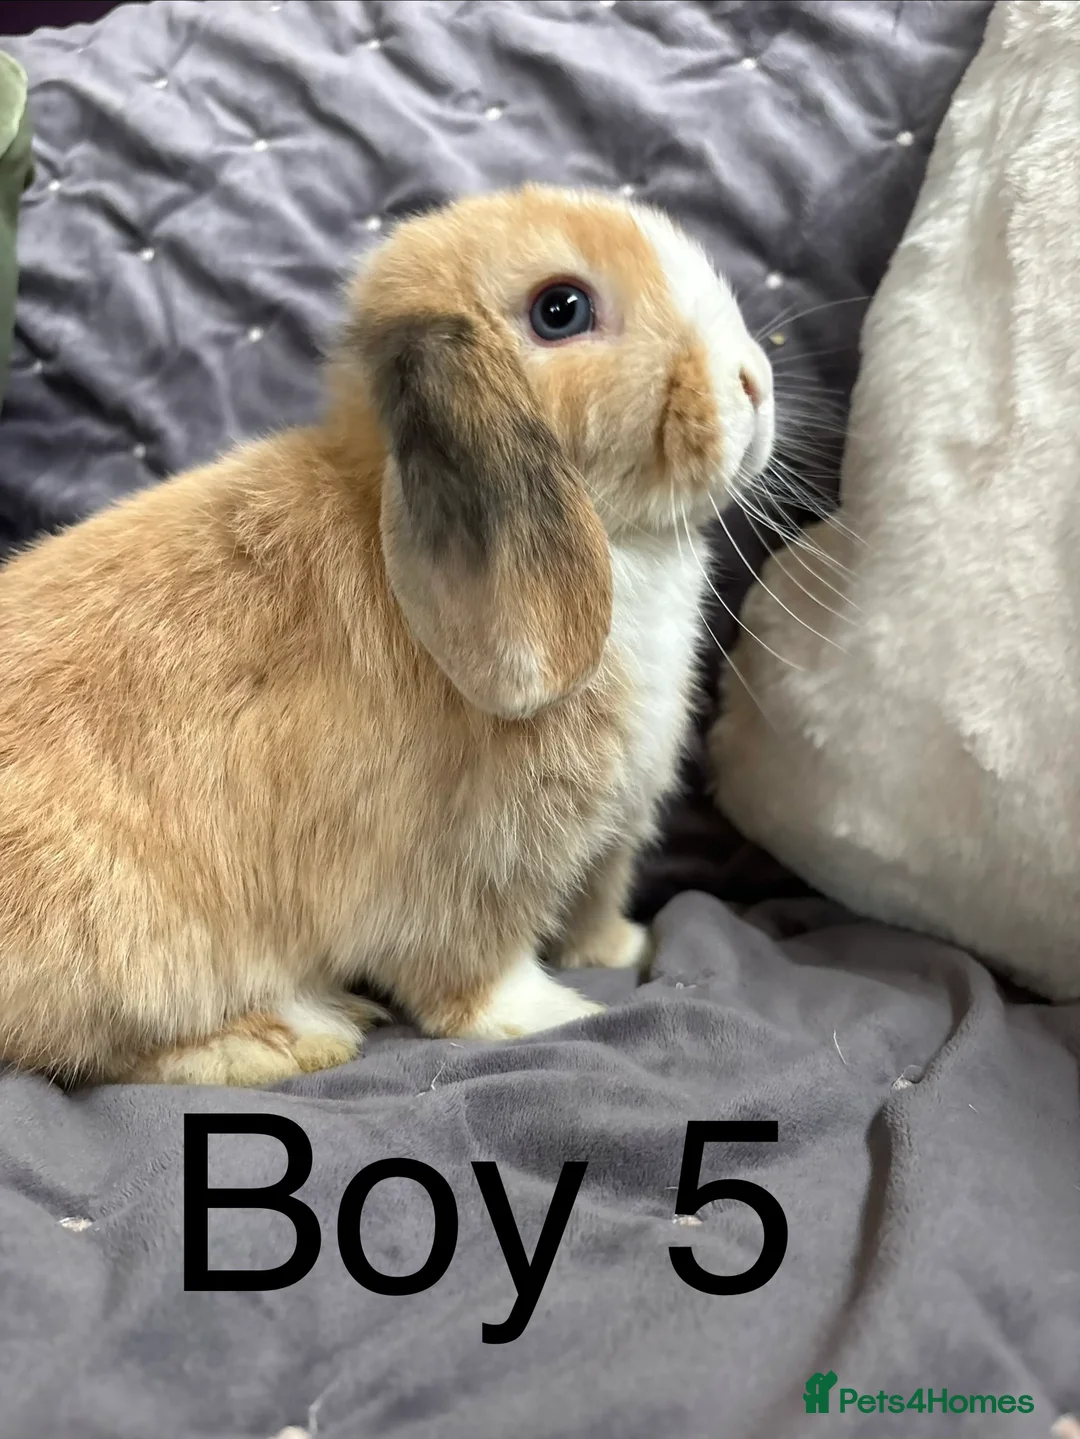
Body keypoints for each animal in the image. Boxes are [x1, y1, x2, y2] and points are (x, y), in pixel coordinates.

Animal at [0, 184, 774, 1087]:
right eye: (561, 310)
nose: (754, 380)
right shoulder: (463, 872)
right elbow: (472, 971)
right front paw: (552, 1013)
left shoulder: (607, 834)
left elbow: (597, 899)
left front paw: (622, 948)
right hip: (128, 936)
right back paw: (289, 1036)